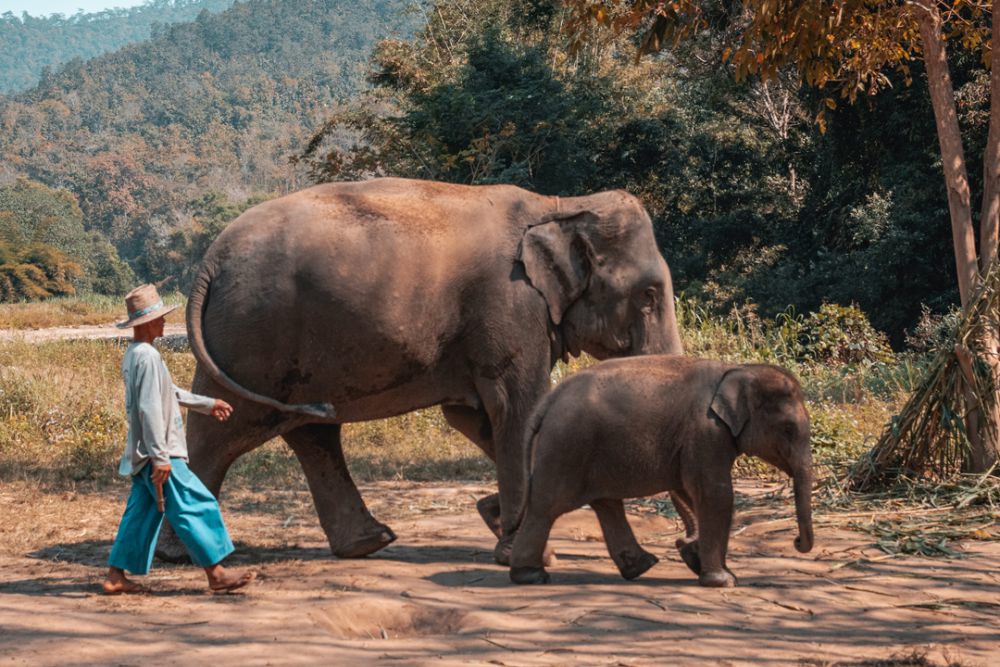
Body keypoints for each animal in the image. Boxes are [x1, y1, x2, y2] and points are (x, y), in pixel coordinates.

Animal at [160, 177, 684, 564]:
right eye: (649, 295)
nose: (685, 550)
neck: (561, 204)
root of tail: (209, 262)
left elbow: (475, 417)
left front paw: (497, 518)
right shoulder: (510, 307)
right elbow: (517, 408)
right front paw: (521, 547)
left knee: (310, 431)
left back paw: (368, 543)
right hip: (254, 338)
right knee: (223, 432)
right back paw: (183, 556)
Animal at [508, 358, 812, 588]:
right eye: (788, 429)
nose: (796, 541)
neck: (736, 370)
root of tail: (549, 400)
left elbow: (690, 491)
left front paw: (696, 559)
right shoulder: (706, 432)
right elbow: (716, 494)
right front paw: (724, 581)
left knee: (606, 504)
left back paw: (641, 566)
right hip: (566, 447)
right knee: (546, 507)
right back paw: (530, 575)